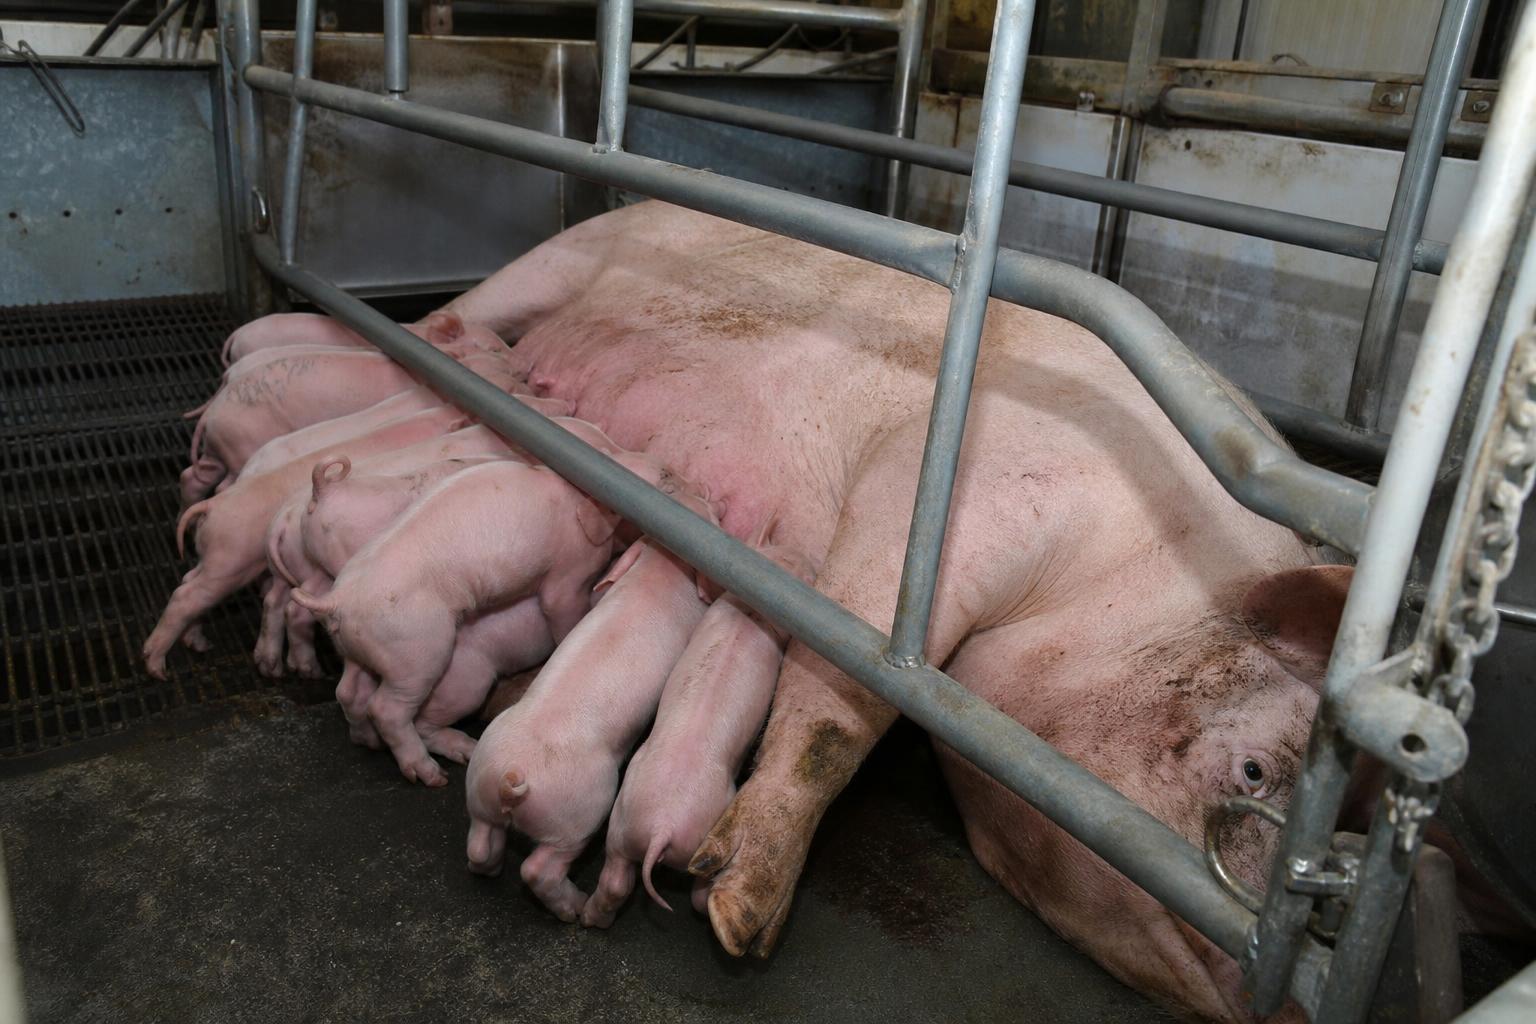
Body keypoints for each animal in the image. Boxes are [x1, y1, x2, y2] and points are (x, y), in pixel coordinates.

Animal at [143, 405, 471, 679]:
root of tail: (211, 507)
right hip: (231, 561)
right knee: (188, 595)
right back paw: (157, 667)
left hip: (226, 561)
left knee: (206, 584)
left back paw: (215, 649)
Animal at [289, 457, 684, 786]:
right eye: (663, 478)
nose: (683, 482)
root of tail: (339, 599)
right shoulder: (567, 571)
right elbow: (562, 608)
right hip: (418, 650)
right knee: (388, 709)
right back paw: (431, 775)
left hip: (359, 646)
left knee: (348, 690)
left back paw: (368, 741)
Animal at [464, 539, 711, 920]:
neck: (658, 571)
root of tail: (511, 774)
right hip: (581, 812)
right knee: (537, 869)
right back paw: (575, 909)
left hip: (480, 786)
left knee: (478, 843)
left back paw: (491, 870)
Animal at [581, 530, 816, 928]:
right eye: (801, 576)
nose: (809, 557)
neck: (750, 611)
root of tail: (661, 826)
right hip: (704, 825)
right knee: (695, 892)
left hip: (624, 817)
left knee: (615, 877)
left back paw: (586, 918)